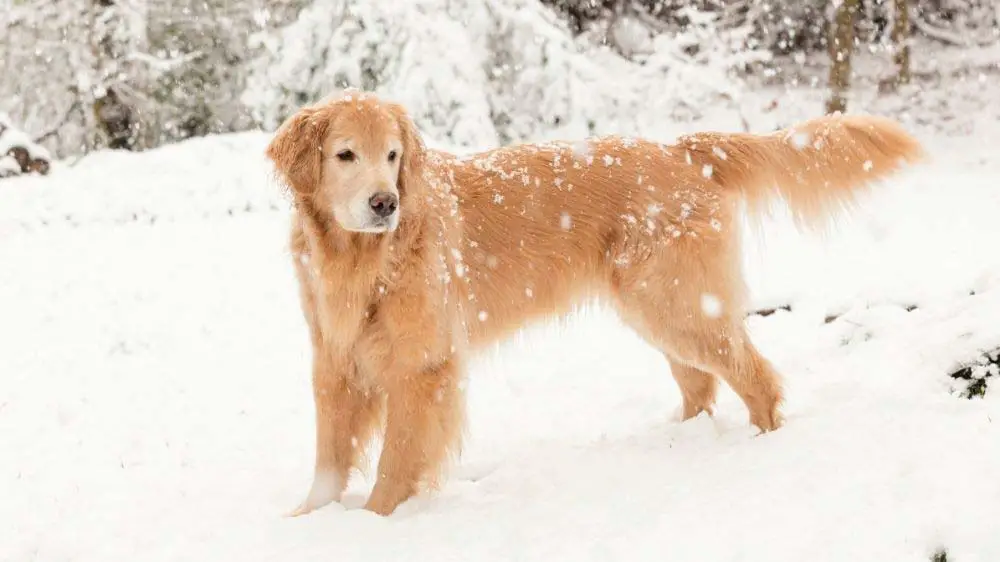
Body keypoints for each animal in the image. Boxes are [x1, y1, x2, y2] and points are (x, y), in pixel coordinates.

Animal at [262, 88, 924, 516]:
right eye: (345, 154)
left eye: (393, 155)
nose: (385, 203)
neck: (361, 259)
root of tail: (681, 149)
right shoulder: (335, 362)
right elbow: (329, 458)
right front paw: (308, 522)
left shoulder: (422, 367)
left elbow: (395, 463)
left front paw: (372, 525)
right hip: (661, 311)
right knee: (700, 386)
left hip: (677, 307)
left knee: (754, 376)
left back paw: (761, 447)